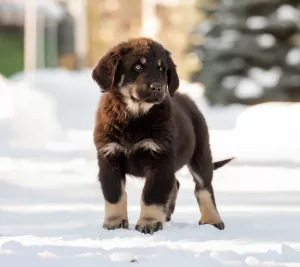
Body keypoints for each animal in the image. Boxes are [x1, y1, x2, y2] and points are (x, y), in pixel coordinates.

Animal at [92, 37, 233, 234]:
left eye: (161, 69)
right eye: (137, 67)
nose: (157, 87)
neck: (135, 116)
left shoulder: (159, 156)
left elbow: (152, 194)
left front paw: (149, 222)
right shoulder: (109, 156)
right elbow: (114, 193)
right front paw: (115, 222)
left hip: (200, 153)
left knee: (204, 188)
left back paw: (212, 220)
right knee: (175, 183)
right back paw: (166, 214)